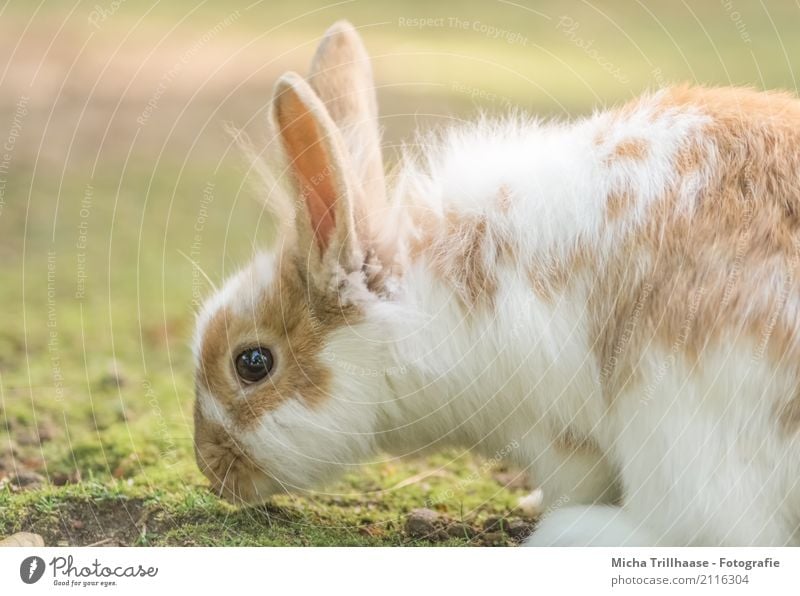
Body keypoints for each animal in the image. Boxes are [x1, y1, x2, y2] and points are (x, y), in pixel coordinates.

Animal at [192, 21, 800, 548]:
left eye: (252, 362)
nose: (209, 467)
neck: (428, 298)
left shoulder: (553, 432)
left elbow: (574, 481)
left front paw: (543, 511)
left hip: (678, 418)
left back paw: (570, 534)